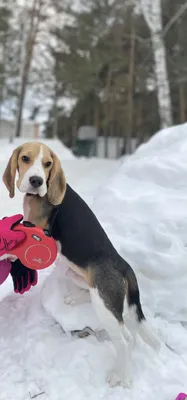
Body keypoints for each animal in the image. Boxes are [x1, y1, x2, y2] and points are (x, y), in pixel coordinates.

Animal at [2, 143, 160, 388]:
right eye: (25, 158)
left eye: (48, 164)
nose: (37, 181)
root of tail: (124, 265)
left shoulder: (33, 230)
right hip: (75, 274)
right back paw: (74, 298)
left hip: (105, 306)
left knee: (124, 340)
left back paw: (121, 376)